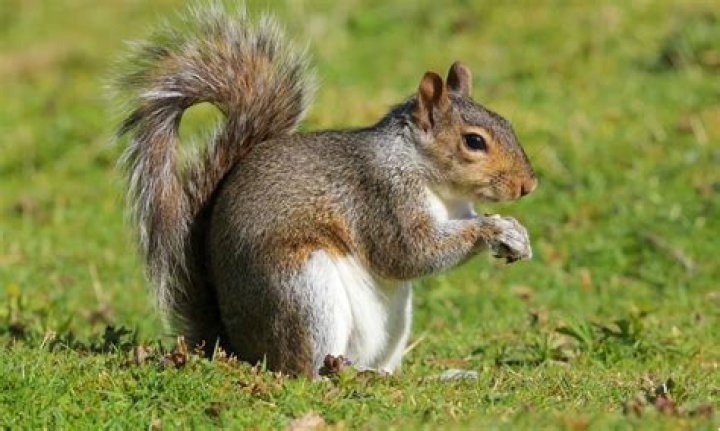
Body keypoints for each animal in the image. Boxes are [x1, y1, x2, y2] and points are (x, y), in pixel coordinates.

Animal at [113, 4, 537, 377]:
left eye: (507, 122)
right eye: (473, 141)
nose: (528, 185)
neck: (432, 180)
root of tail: (234, 344)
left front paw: (516, 234)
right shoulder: (381, 198)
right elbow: (410, 253)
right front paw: (493, 229)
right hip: (302, 291)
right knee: (302, 368)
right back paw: (340, 374)